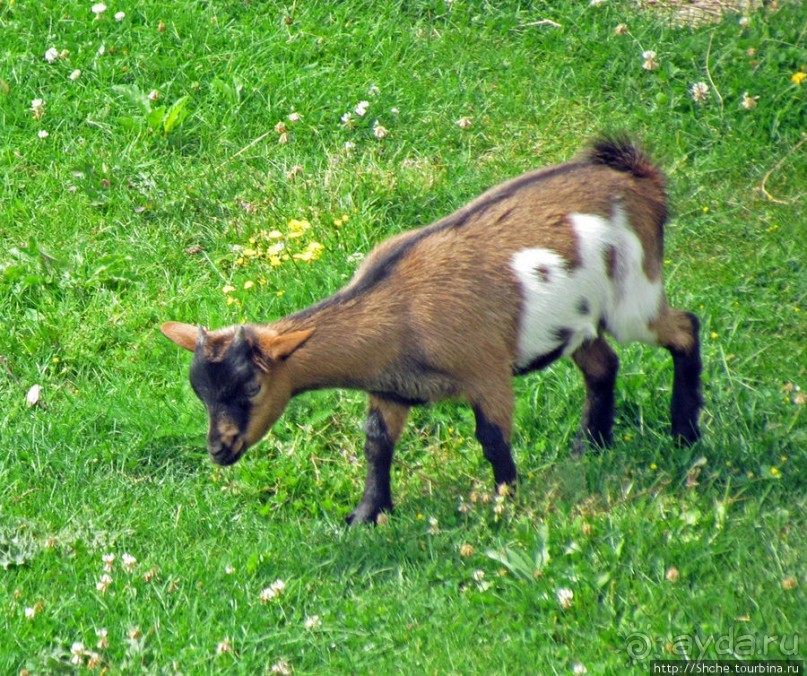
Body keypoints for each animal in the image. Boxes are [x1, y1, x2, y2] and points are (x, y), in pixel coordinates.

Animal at [163, 136, 700, 524]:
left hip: (633, 294)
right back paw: (592, 445)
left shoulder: (486, 372)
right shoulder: (391, 389)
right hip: (577, 321)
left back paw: (685, 433)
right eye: (199, 392)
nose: (219, 450)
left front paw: (506, 505)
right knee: (603, 362)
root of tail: (639, 180)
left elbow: (493, 439)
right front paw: (367, 515)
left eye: (252, 386)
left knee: (684, 329)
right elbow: (376, 443)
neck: (400, 315)